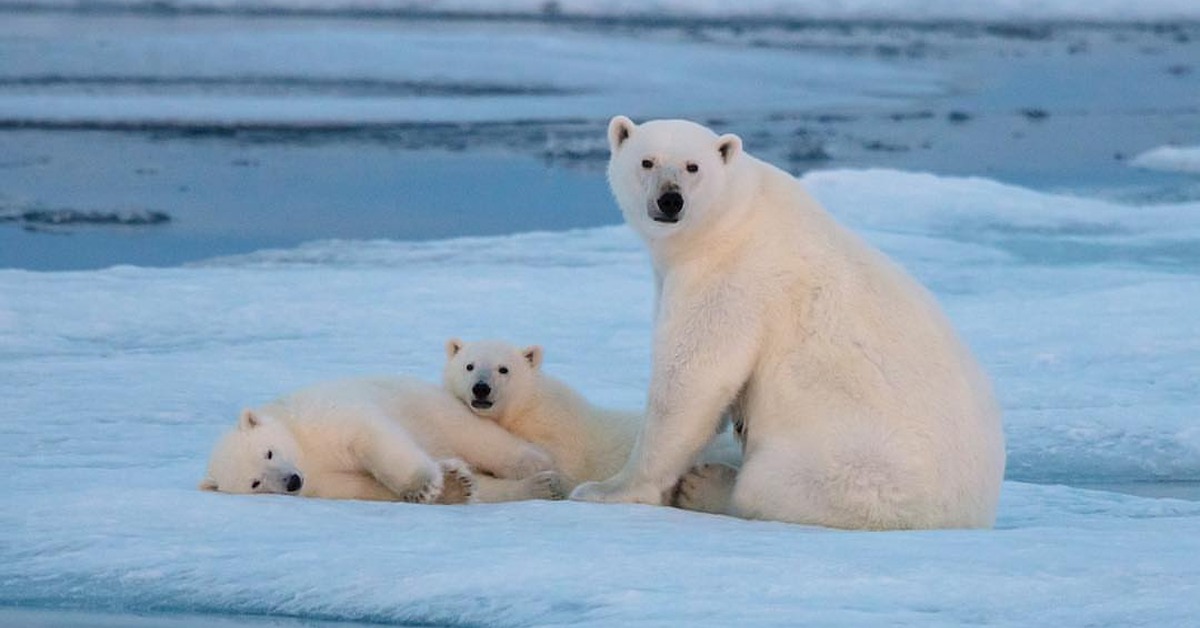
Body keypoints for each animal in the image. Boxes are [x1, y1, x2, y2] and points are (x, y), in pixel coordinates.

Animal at [201, 377, 561, 504]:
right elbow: (360, 486)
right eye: (255, 482)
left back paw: (538, 467)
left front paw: (423, 485)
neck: (304, 449)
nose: (291, 481)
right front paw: (452, 486)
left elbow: (372, 438)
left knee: (475, 436)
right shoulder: (320, 483)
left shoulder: (322, 417)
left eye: (269, 452)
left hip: (428, 406)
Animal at [441, 338, 739, 501]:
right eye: (469, 366)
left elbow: (556, 464)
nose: (481, 388)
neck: (521, 410)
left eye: (504, 369)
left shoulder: (554, 429)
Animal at [568, 117, 1003, 530]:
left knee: (769, 484)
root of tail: (972, 512)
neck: (735, 215)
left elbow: (694, 378)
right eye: (647, 161)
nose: (670, 200)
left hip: (854, 466)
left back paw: (707, 485)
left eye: (693, 166)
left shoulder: (734, 278)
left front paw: (607, 489)